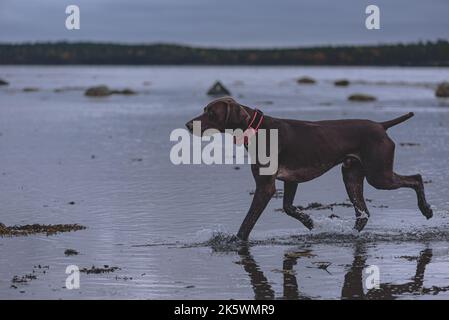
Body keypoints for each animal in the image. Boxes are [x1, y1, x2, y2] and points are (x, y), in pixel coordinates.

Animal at [185, 97, 430, 240]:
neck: (257, 129)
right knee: (363, 214)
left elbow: (248, 222)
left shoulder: (265, 187)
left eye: (211, 113)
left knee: (416, 178)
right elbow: (288, 208)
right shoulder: (290, 180)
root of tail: (381, 126)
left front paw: (236, 241)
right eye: (204, 109)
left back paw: (426, 209)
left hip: (379, 176)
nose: (188, 125)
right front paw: (309, 221)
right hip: (351, 175)